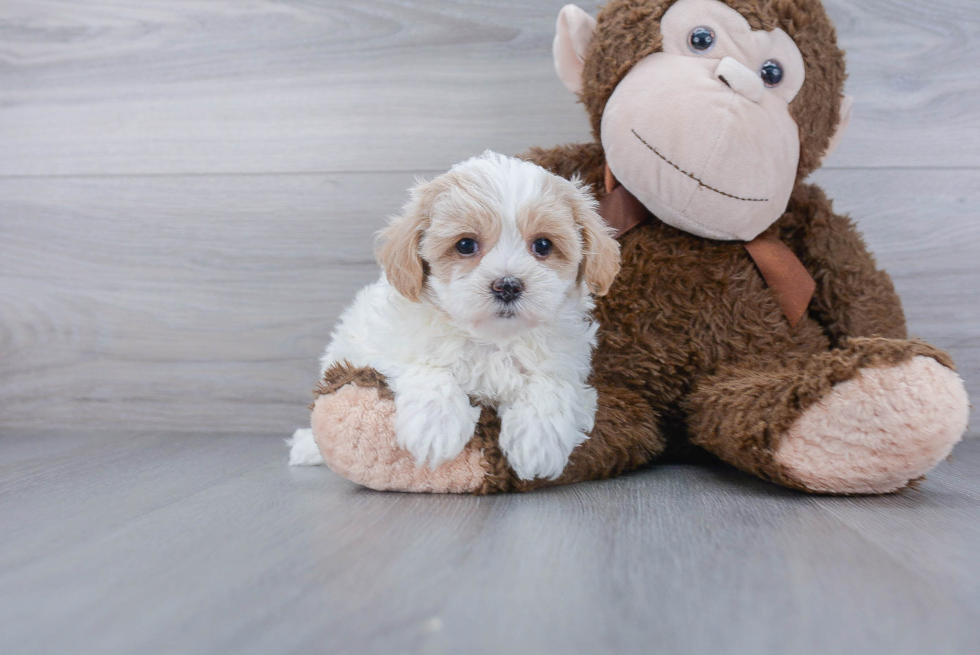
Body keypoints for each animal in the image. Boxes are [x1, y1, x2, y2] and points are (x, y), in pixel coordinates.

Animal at [288, 154, 620, 482]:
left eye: (543, 245)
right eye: (465, 245)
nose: (507, 285)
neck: (492, 340)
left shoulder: (566, 361)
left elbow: (551, 384)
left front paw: (538, 441)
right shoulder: (386, 346)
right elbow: (428, 369)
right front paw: (435, 428)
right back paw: (307, 447)